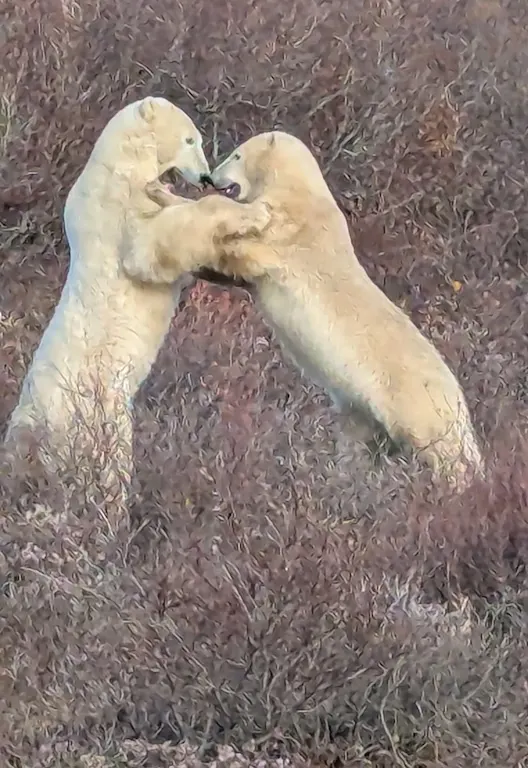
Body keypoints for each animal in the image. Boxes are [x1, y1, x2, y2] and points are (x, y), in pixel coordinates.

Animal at [4, 96, 270, 491]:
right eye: (190, 140)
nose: (205, 176)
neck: (122, 161)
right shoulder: (118, 205)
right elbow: (151, 247)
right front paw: (249, 214)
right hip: (85, 413)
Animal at [123, 130, 484, 489]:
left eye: (237, 155)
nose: (212, 176)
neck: (301, 188)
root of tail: (459, 401)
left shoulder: (286, 228)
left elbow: (239, 241)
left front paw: (165, 195)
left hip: (412, 403)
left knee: (444, 453)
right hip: (363, 412)